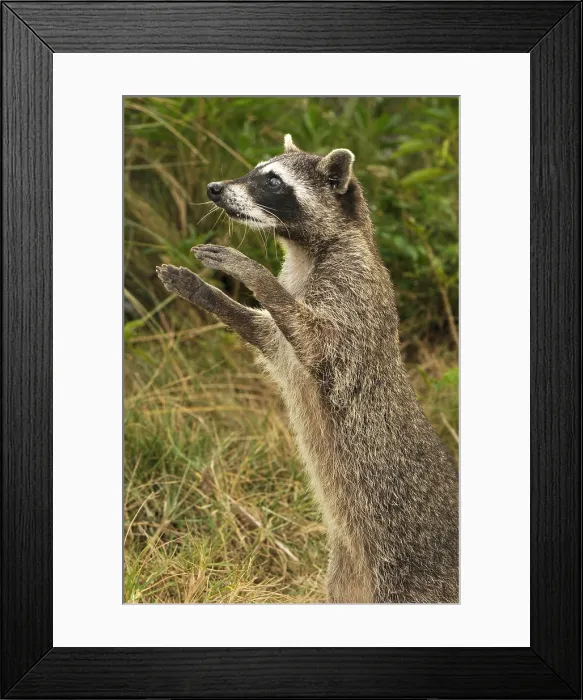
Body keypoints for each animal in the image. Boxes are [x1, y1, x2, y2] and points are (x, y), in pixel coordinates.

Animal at [157, 134, 459, 603]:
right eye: (255, 170)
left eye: (273, 181)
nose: (214, 188)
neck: (304, 251)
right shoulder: (285, 332)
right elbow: (267, 333)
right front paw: (203, 291)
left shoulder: (353, 292)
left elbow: (313, 339)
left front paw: (249, 270)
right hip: (345, 576)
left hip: (408, 574)